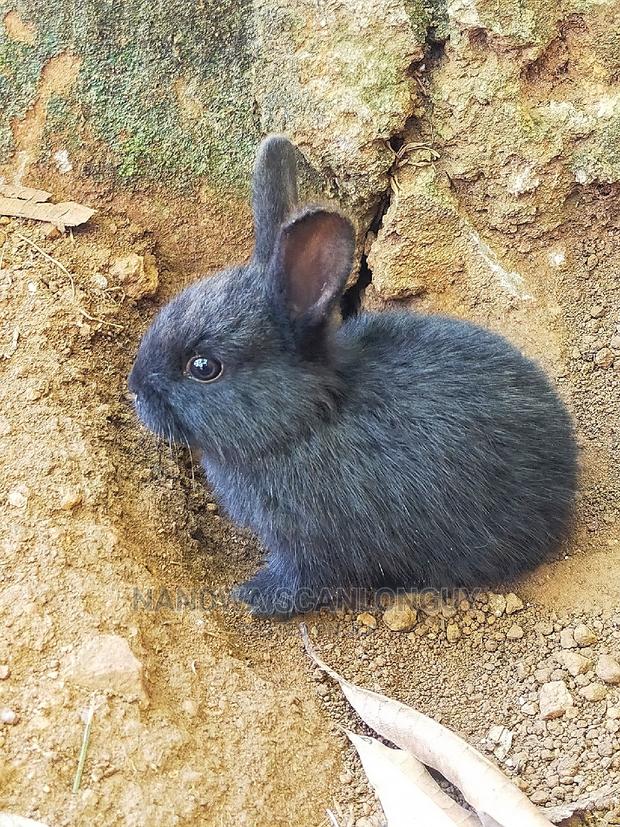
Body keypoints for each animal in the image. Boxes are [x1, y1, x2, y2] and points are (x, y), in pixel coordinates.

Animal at [128, 134, 578, 616]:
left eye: (203, 367)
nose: (134, 391)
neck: (306, 422)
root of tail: (568, 471)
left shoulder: (311, 544)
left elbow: (302, 580)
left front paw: (255, 597)